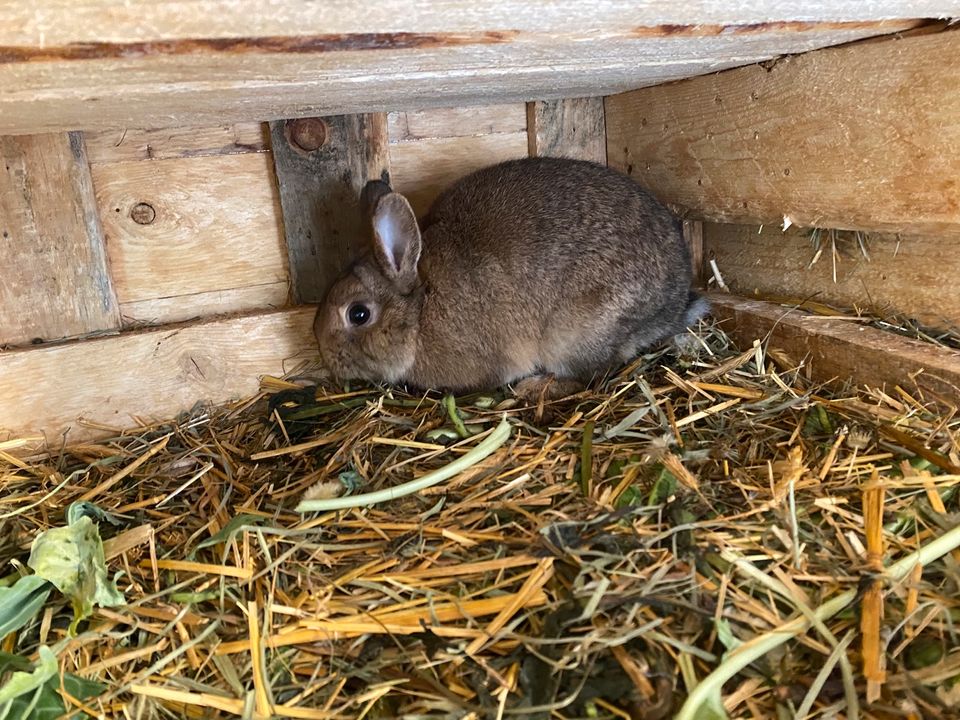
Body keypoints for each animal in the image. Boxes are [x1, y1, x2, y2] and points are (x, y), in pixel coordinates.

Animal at [314, 156, 704, 400]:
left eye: (358, 314)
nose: (327, 359)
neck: (420, 308)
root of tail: (670, 306)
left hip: (576, 333)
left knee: (590, 376)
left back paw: (533, 388)